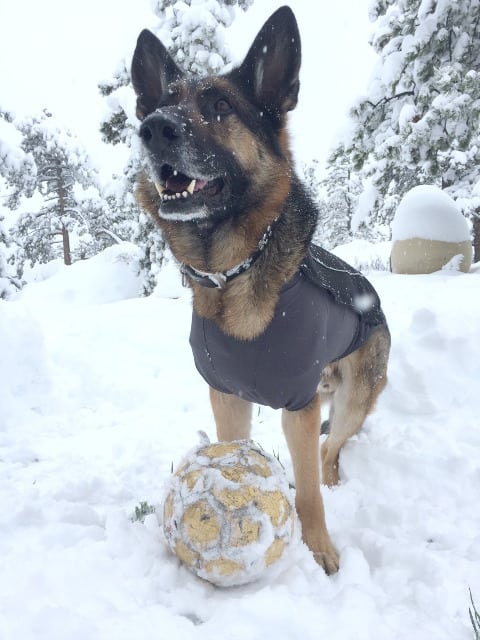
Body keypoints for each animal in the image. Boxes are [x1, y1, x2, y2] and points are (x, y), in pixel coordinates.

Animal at [131, 6, 390, 576]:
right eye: (160, 106)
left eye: (221, 107)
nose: (154, 128)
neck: (233, 274)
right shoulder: (226, 397)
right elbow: (234, 452)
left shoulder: (299, 405)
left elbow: (309, 492)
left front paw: (319, 551)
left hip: (352, 400)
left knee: (329, 452)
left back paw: (331, 478)